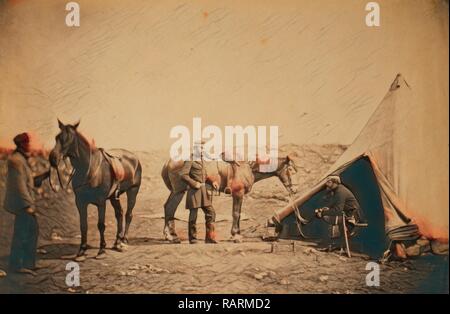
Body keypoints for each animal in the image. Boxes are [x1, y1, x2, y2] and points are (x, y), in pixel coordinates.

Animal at [49, 119, 142, 258]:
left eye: (69, 138)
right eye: (56, 137)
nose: (53, 159)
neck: (89, 169)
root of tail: (134, 158)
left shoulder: (101, 202)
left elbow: (101, 225)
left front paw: (101, 250)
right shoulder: (80, 202)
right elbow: (83, 225)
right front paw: (82, 251)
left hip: (133, 191)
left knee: (128, 214)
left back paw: (123, 240)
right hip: (114, 197)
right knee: (119, 214)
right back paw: (117, 242)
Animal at [162, 156, 298, 242]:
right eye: (290, 170)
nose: (295, 189)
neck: (248, 168)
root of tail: (168, 162)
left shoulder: (239, 195)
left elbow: (238, 214)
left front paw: (237, 234)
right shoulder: (238, 194)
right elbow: (236, 213)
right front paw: (235, 236)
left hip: (175, 192)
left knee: (167, 207)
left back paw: (169, 235)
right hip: (178, 192)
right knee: (170, 208)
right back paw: (171, 237)